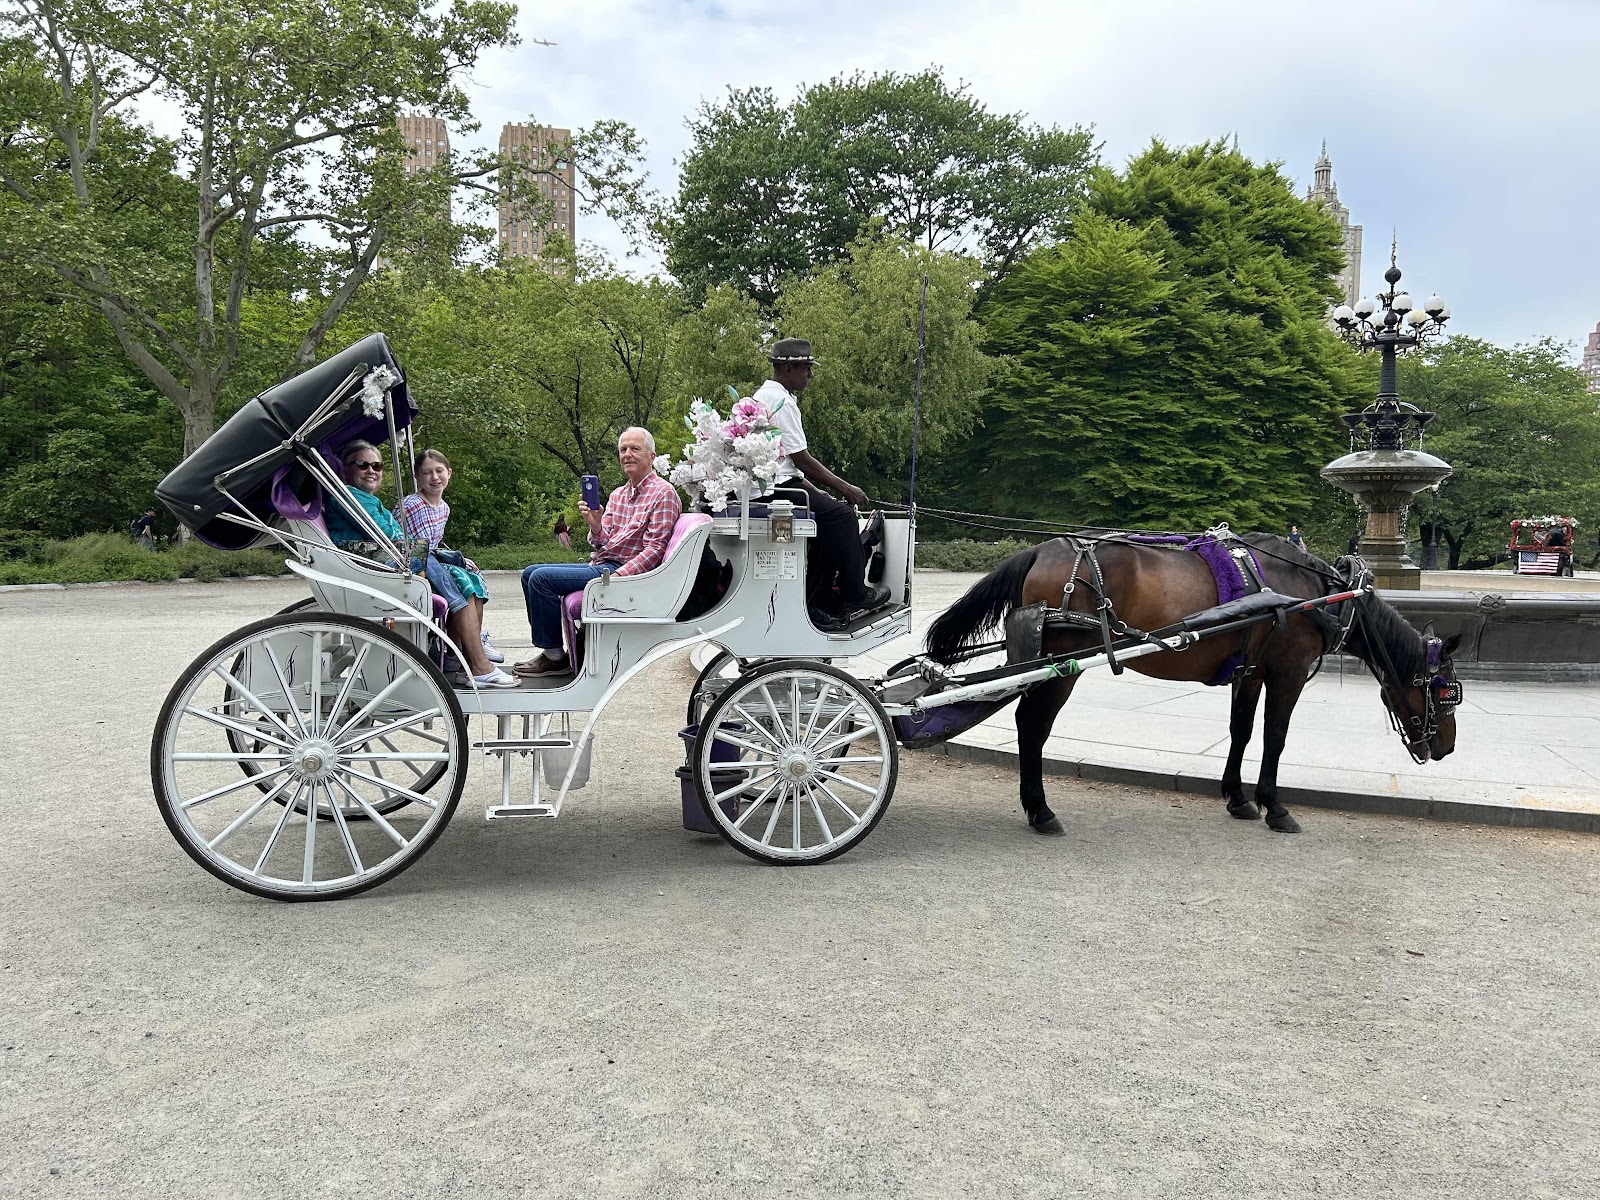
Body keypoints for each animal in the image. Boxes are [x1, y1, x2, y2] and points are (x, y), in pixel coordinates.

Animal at [925, 533, 1462, 836]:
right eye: (1445, 693)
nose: (1446, 749)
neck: (1321, 594)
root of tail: (1041, 549)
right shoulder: (1287, 673)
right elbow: (1274, 737)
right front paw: (1274, 805)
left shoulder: (1250, 673)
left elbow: (1241, 732)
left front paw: (1238, 798)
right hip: (1062, 664)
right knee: (1032, 727)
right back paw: (1040, 811)